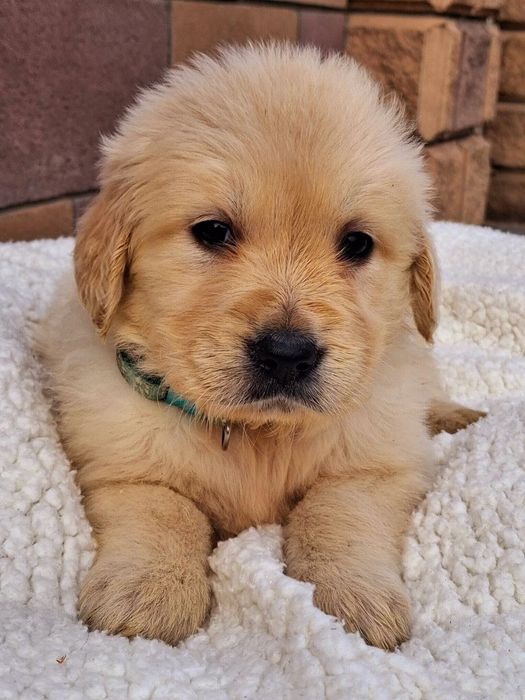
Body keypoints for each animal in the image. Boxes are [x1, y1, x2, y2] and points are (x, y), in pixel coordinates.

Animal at [39, 43, 484, 650]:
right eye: (212, 231)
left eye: (357, 243)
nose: (288, 353)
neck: (256, 434)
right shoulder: (119, 464)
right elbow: (163, 509)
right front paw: (147, 592)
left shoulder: (377, 462)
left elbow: (338, 511)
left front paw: (355, 596)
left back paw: (462, 415)